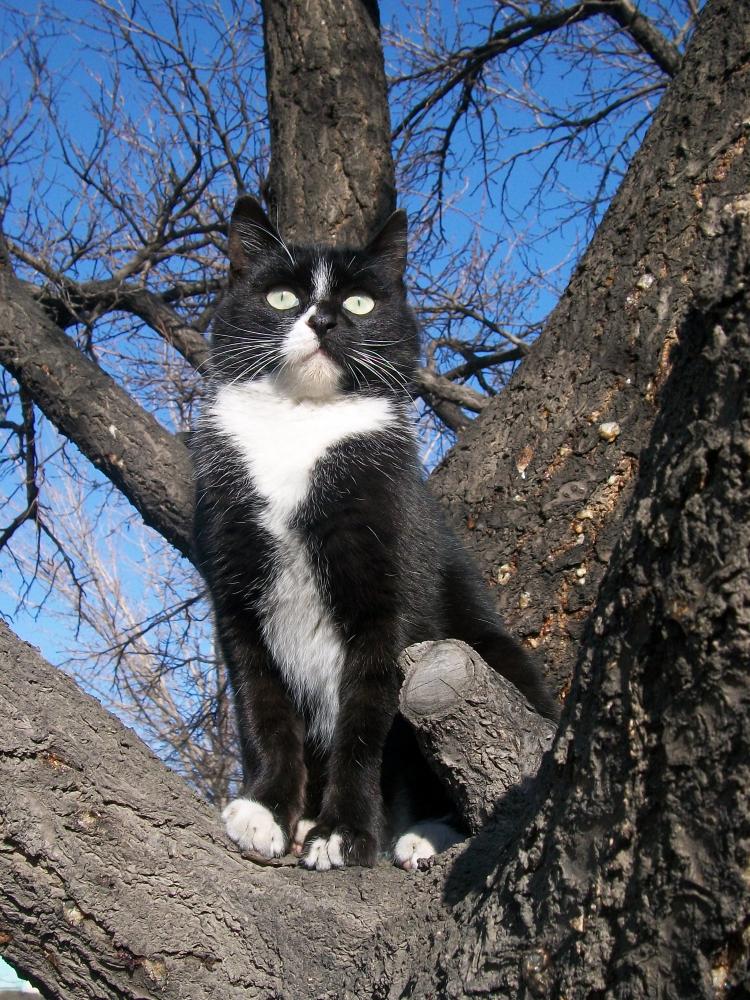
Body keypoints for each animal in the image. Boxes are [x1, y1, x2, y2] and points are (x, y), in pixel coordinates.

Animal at [191, 196, 558, 871]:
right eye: (282, 297)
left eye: (360, 302)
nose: (324, 318)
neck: (299, 429)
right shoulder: (233, 588)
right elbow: (262, 705)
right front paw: (266, 810)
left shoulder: (390, 589)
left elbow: (366, 720)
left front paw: (343, 831)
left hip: (490, 652)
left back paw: (426, 834)